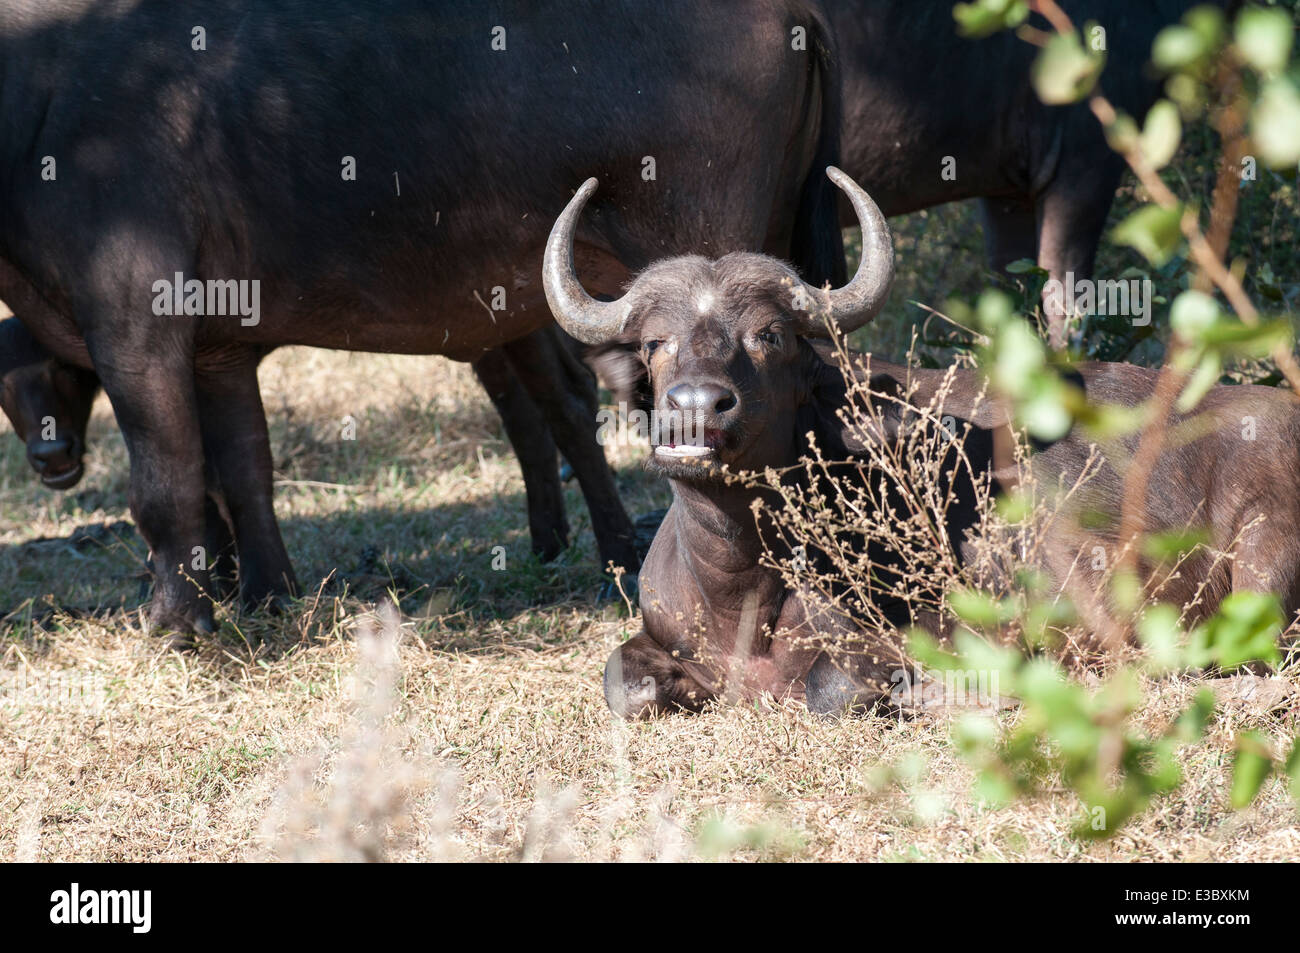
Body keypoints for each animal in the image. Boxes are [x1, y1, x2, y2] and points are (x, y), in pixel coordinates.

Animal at [0, 1, 847, 639]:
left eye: (53, 380)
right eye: (6, 391)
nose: (49, 457)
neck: (45, 88)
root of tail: (790, 9)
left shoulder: (137, 326)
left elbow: (165, 480)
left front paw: (177, 622)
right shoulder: (218, 348)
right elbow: (243, 469)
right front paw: (267, 595)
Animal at [540, 167, 1300, 717]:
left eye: (769, 335)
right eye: (654, 343)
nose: (696, 407)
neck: (740, 586)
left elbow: (828, 691)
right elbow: (623, 684)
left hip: (1263, 563)